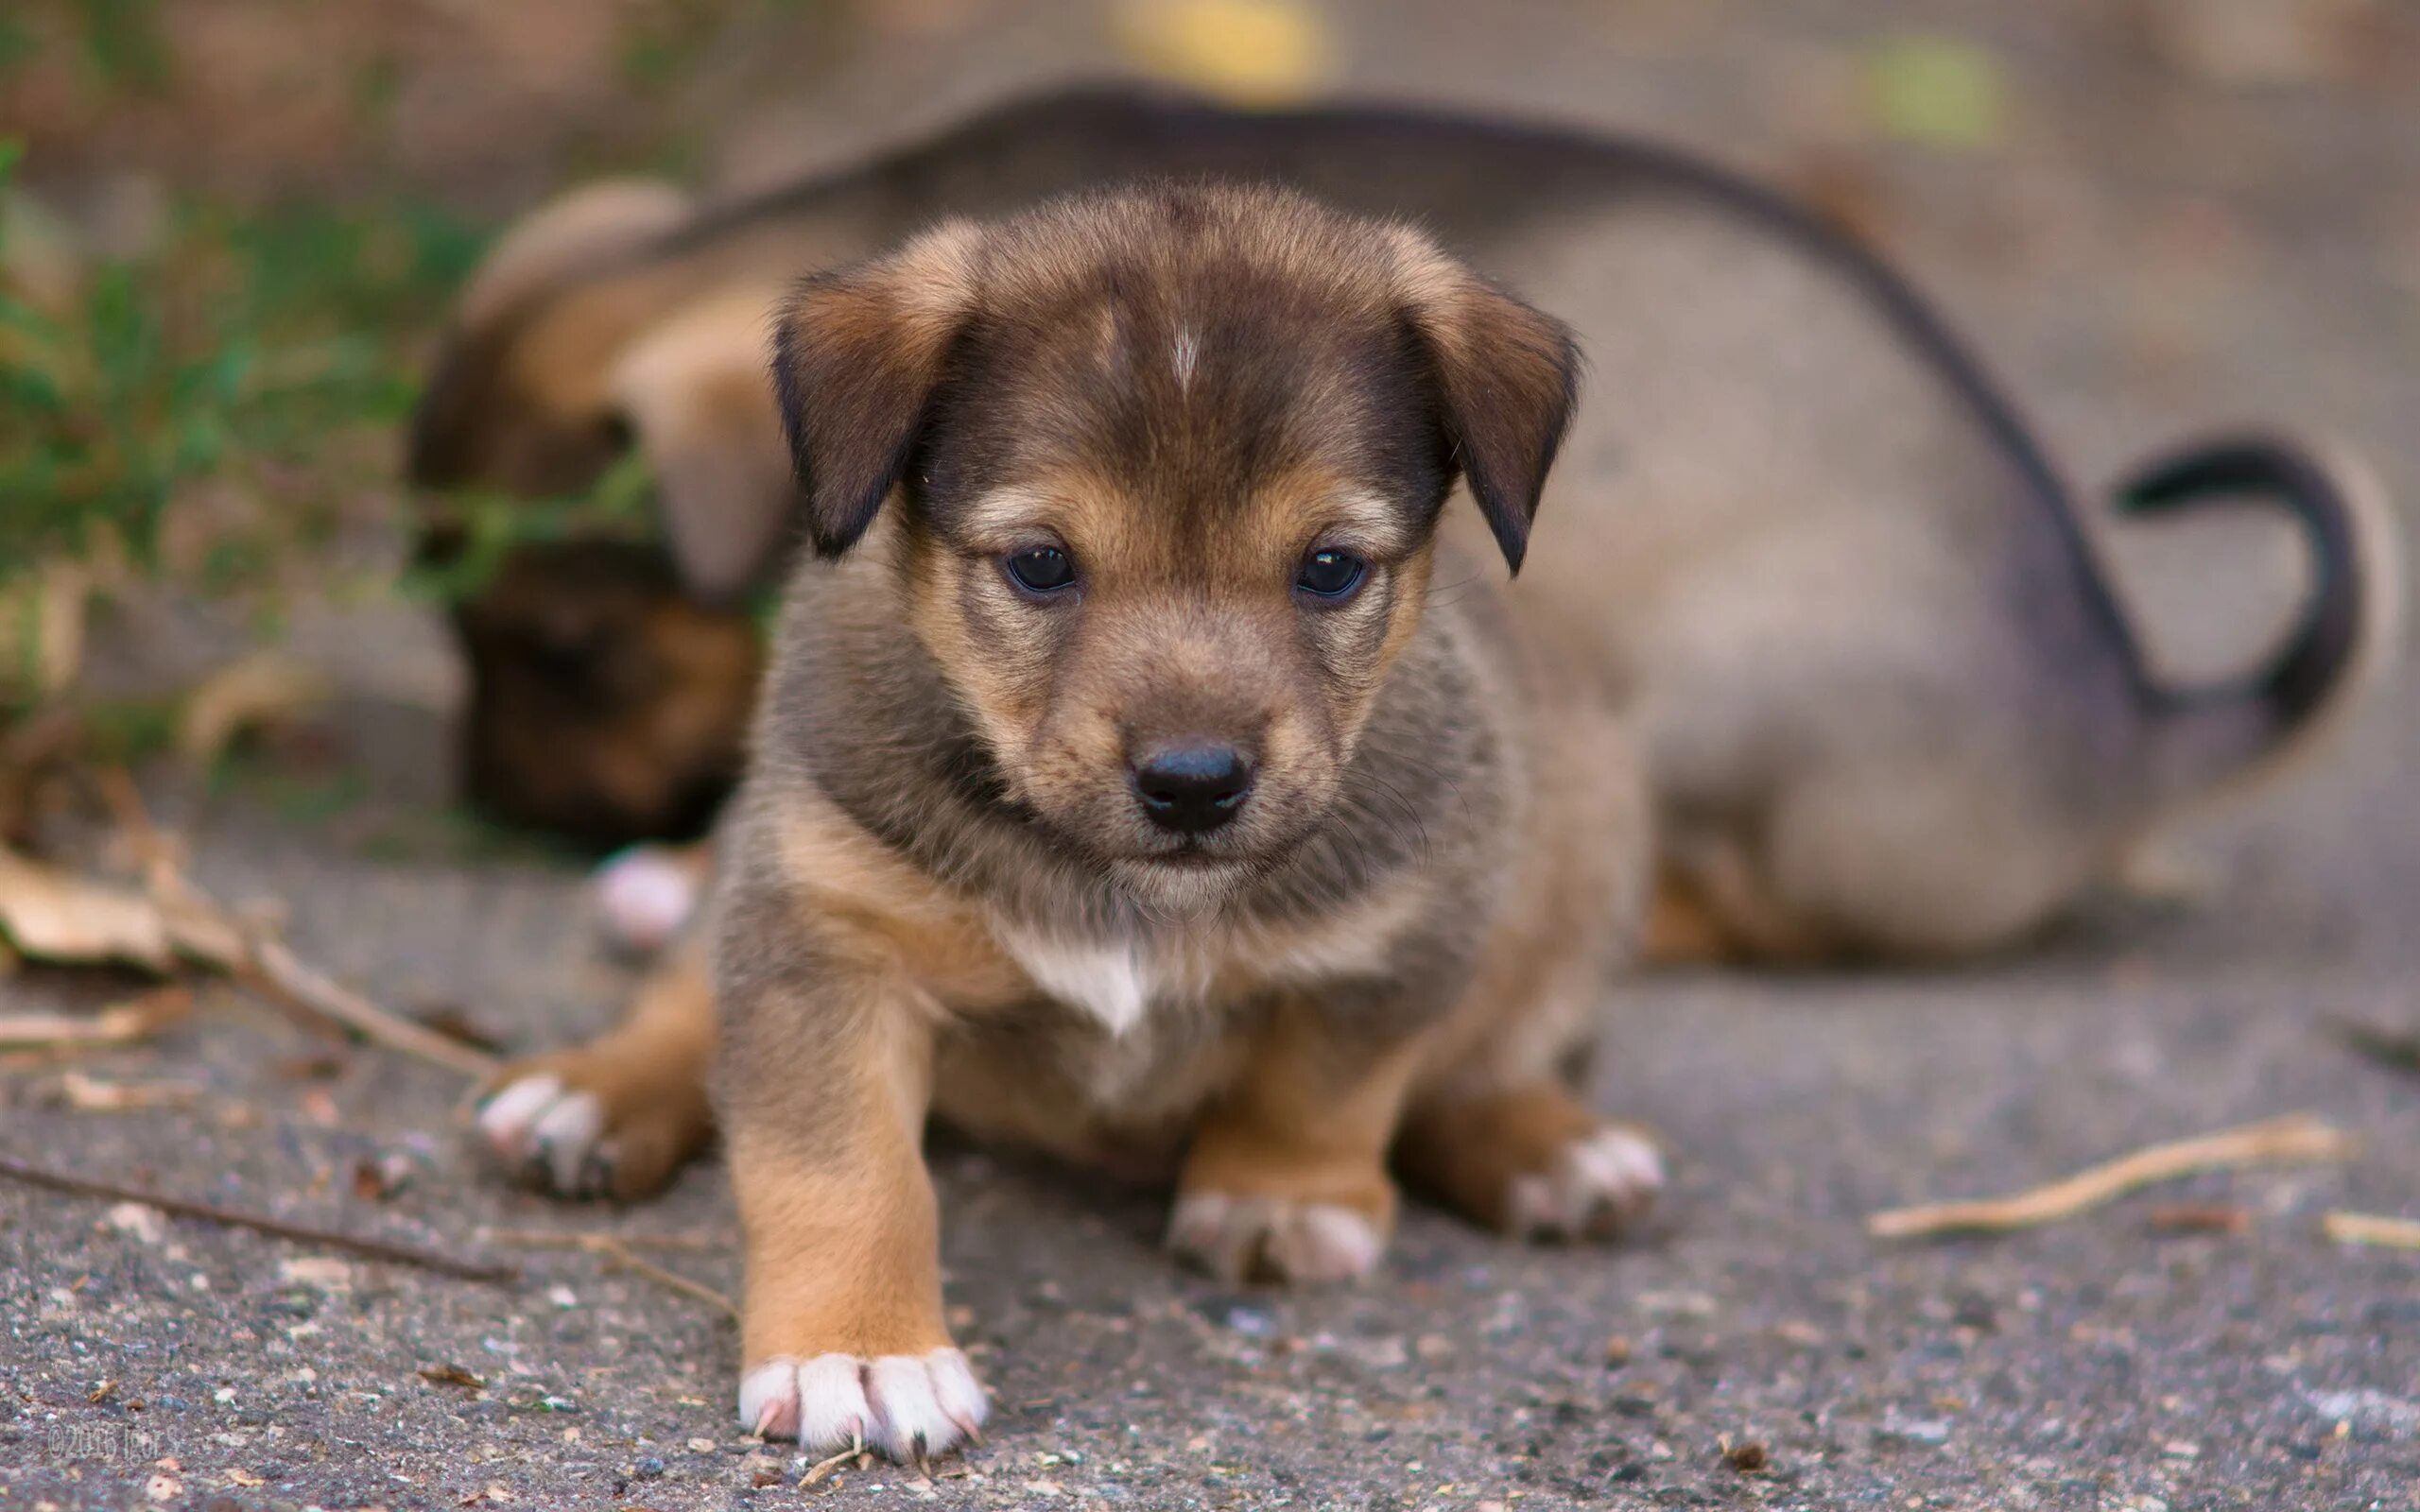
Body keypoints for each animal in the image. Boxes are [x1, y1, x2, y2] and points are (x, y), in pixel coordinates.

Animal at [406, 85, 2391, 953]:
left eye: (569, 646)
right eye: (456, 632)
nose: (494, 806)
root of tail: (2131, 727)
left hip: (1691, 694)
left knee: (1750, 906)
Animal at [484, 182, 1674, 1461]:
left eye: (1330, 567)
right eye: (1041, 563)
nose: (1195, 784)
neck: (1128, 893)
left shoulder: (1408, 927)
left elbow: (1328, 1075)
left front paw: (1279, 1194)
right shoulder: (827, 930)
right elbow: (841, 1165)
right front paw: (859, 1349)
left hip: (1589, 841)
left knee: (1494, 1051)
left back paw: (1552, 1148)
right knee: (681, 996)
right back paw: (592, 1092)